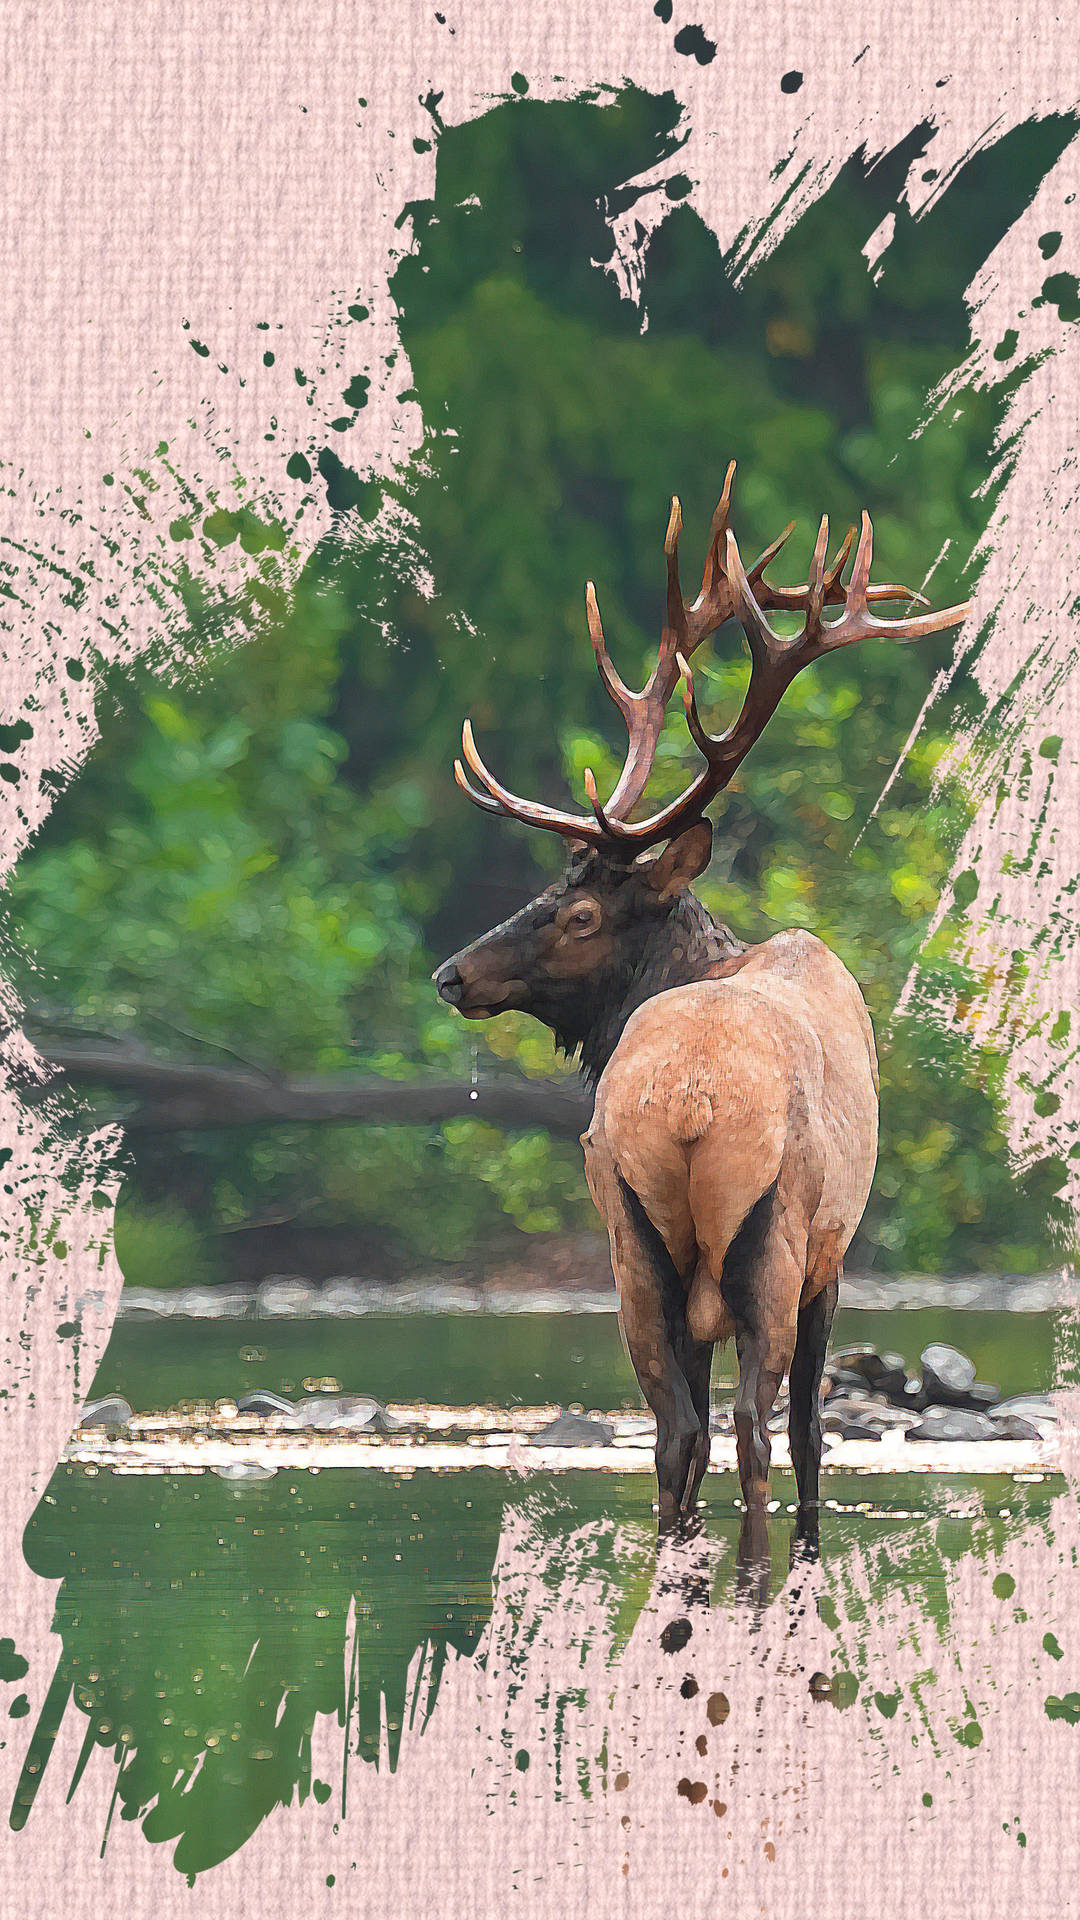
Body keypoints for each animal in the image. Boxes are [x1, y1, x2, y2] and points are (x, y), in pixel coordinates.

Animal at [428, 464, 968, 1574]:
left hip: (631, 1241)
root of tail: (688, 1106)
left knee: (679, 1432)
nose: (453, 974)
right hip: (770, 1237)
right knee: (754, 1429)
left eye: (577, 912)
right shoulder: (832, 1253)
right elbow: (806, 1433)